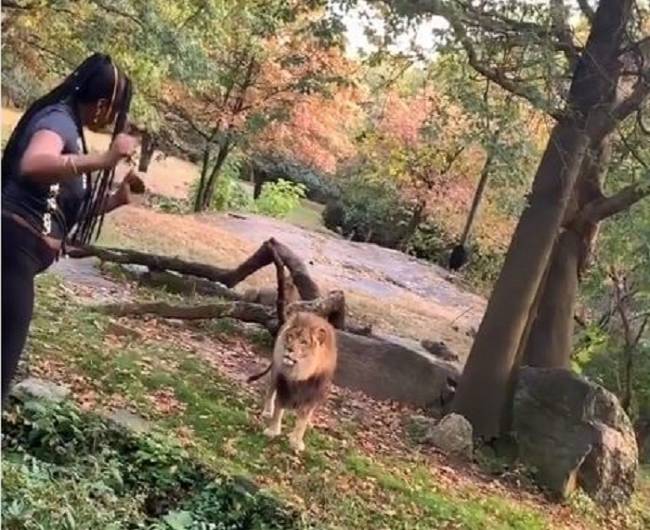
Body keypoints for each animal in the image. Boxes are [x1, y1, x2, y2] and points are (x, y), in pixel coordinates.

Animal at [247, 312, 336, 452]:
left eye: (304, 342)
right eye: (291, 337)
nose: (289, 349)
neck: (300, 373)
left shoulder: (312, 393)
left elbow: (302, 420)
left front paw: (296, 441)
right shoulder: (283, 385)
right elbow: (278, 410)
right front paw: (272, 431)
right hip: (275, 371)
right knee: (270, 392)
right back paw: (267, 411)